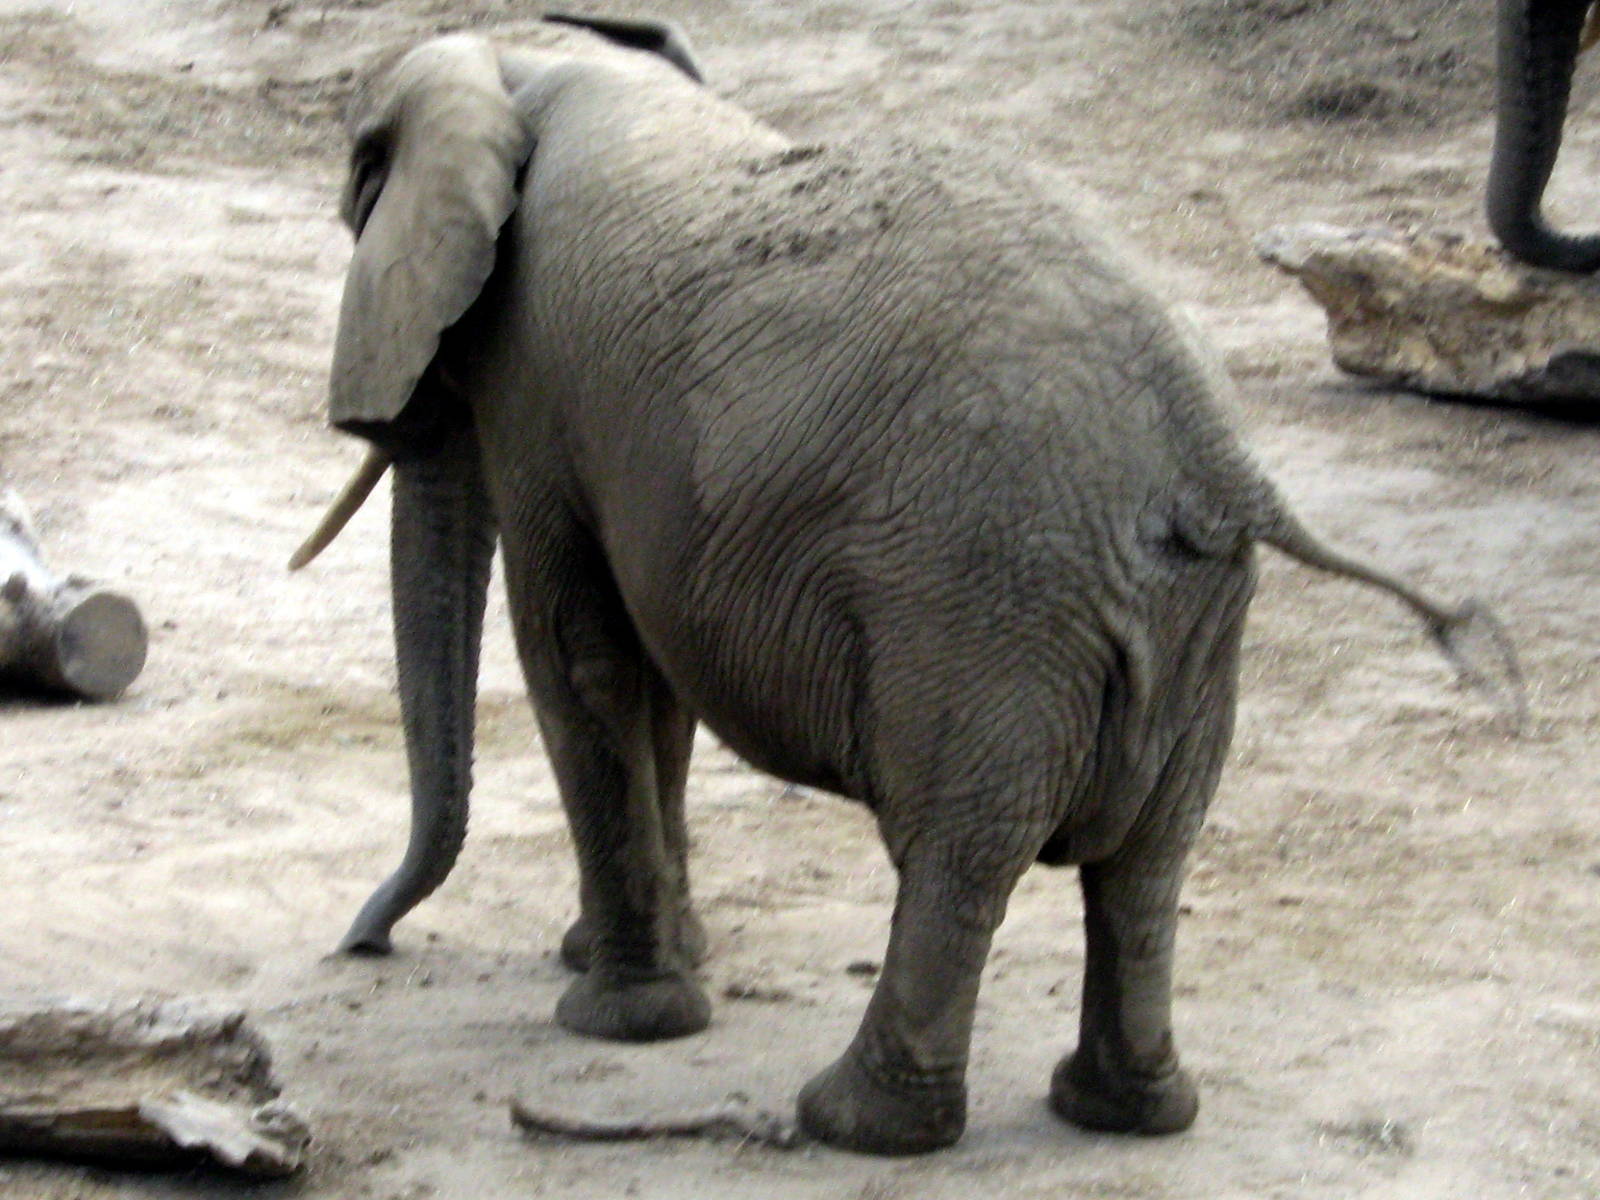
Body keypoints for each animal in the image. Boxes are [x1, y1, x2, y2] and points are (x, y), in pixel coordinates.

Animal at [292, 17, 1516, 1155]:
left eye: (357, 194)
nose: (364, 944)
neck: (531, 63)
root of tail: (1214, 457)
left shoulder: (537, 381)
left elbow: (578, 655)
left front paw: (617, 1015)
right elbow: (651, 679)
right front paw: (630, 962)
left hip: (983, 605)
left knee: (959, 854)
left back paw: (854, 1123)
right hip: (1185, 621)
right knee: (1147, 863)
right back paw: (1123, 1113)